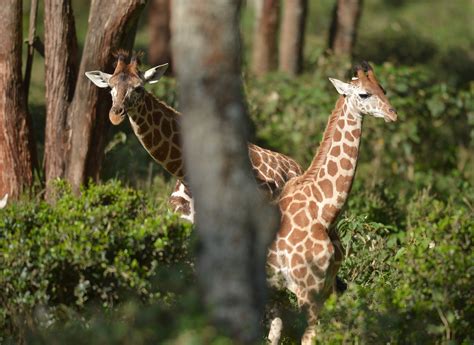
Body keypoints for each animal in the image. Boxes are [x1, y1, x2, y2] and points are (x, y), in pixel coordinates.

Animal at [266, 62, 396, 344]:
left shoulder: (328, 285)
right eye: (364, 94)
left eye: (383, 88)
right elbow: (309, 337)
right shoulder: (307, 289)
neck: (324, 212)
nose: (393, 114)